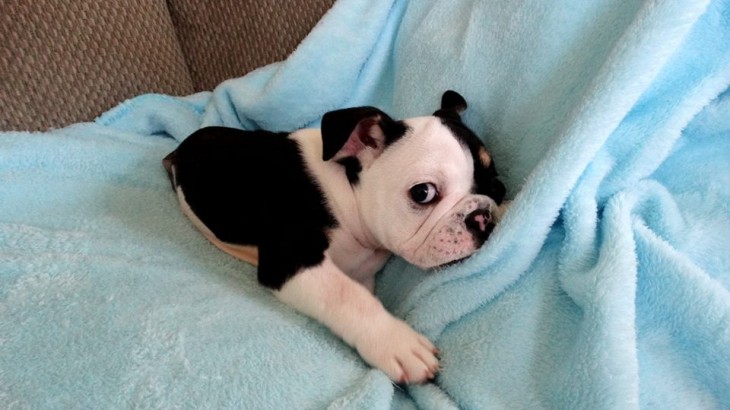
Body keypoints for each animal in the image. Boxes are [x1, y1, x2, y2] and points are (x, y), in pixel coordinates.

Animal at [162, 89, 504, 384]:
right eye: (423, 193)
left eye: (498, 185)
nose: (482, 218)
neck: (347, 194)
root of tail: (179, 151)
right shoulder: (292, 260)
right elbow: (345, 296)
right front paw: (396, 342)